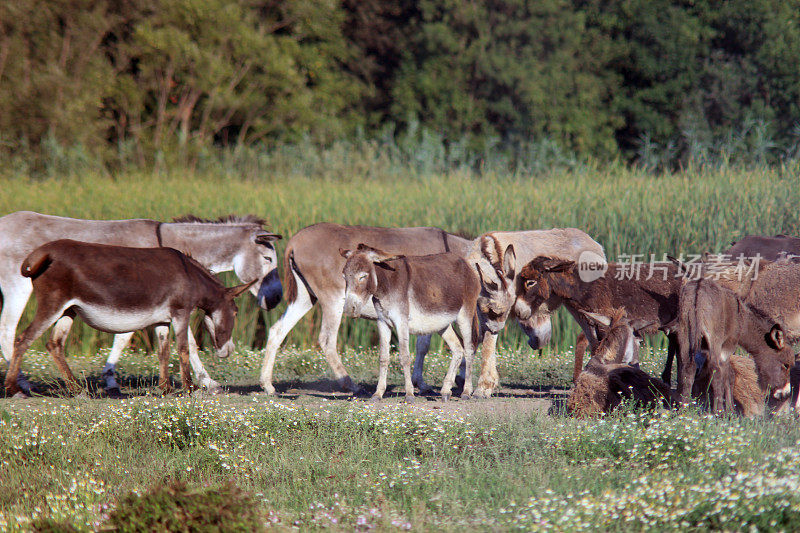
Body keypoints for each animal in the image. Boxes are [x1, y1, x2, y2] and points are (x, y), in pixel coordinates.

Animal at [340, 243, 478, 402]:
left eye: (363, 276)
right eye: (344, 277)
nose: (348, 309)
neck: (386, 285)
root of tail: (465, 263)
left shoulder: (402, 322)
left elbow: (405, 357)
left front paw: (409, 394)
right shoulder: (382, 322)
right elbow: (383, 357)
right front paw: (378, 394)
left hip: (465, 314)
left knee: (468, 349)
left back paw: (466, 391)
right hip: (443, 322)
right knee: (457, 348)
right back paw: (445, 391)